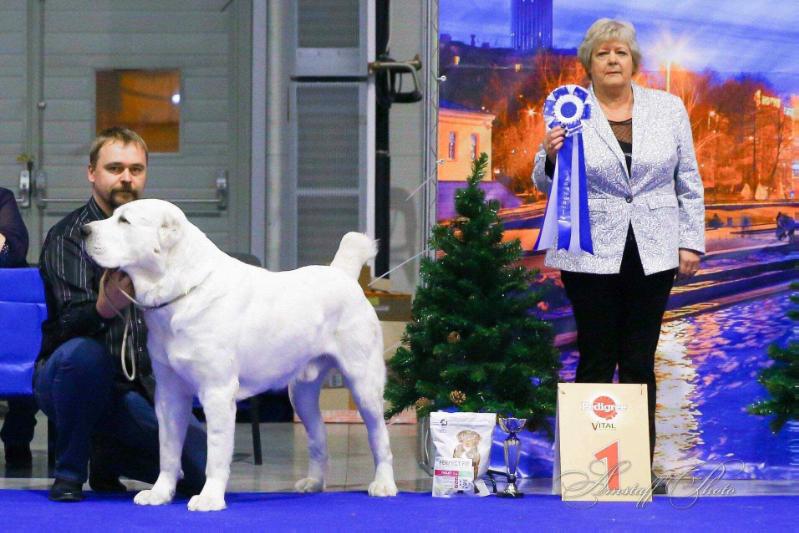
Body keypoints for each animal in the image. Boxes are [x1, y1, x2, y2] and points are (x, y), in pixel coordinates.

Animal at [82, 200, 400, 512]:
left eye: (124, 221)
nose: (84, 230)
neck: (183, 290)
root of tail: (342, 274)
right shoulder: (169, 393)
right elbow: (168, 451)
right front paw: (160, 493)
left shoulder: (216, 391)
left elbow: (216, 451)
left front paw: (209, 498)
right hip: (301, 393)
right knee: (318, 436)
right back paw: (314, 483)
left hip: (364, 383)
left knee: (379, 436)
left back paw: (384, 484)